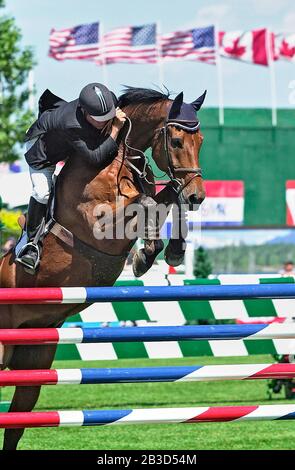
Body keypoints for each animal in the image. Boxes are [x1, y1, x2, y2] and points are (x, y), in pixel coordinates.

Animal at [0, 86, 206, 450]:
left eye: (201, 141)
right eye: (177, 141)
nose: (198, 196)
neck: (116, 157)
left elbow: (166, 198)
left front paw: (169, 252)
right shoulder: (99, 222)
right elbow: (148, 203)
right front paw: (145, 257)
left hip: (34, 361)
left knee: (16, 422)